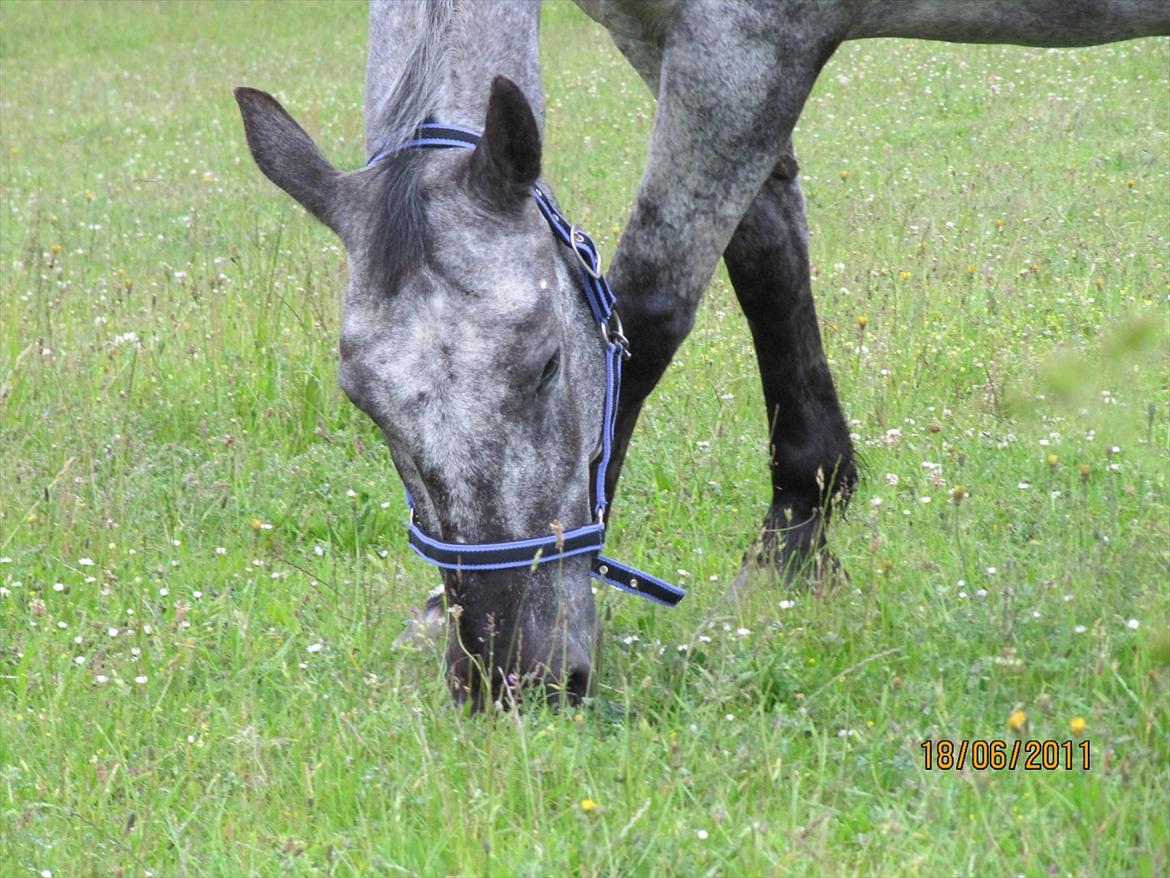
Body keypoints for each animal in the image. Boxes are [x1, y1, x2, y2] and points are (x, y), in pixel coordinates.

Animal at [232, 0, 1165, 707]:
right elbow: (766, 251)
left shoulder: (745, 47)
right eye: (361, 398)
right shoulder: (664, 39)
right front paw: (798, 533)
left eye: (546, 365)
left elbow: (647, 309)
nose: (507, 680)